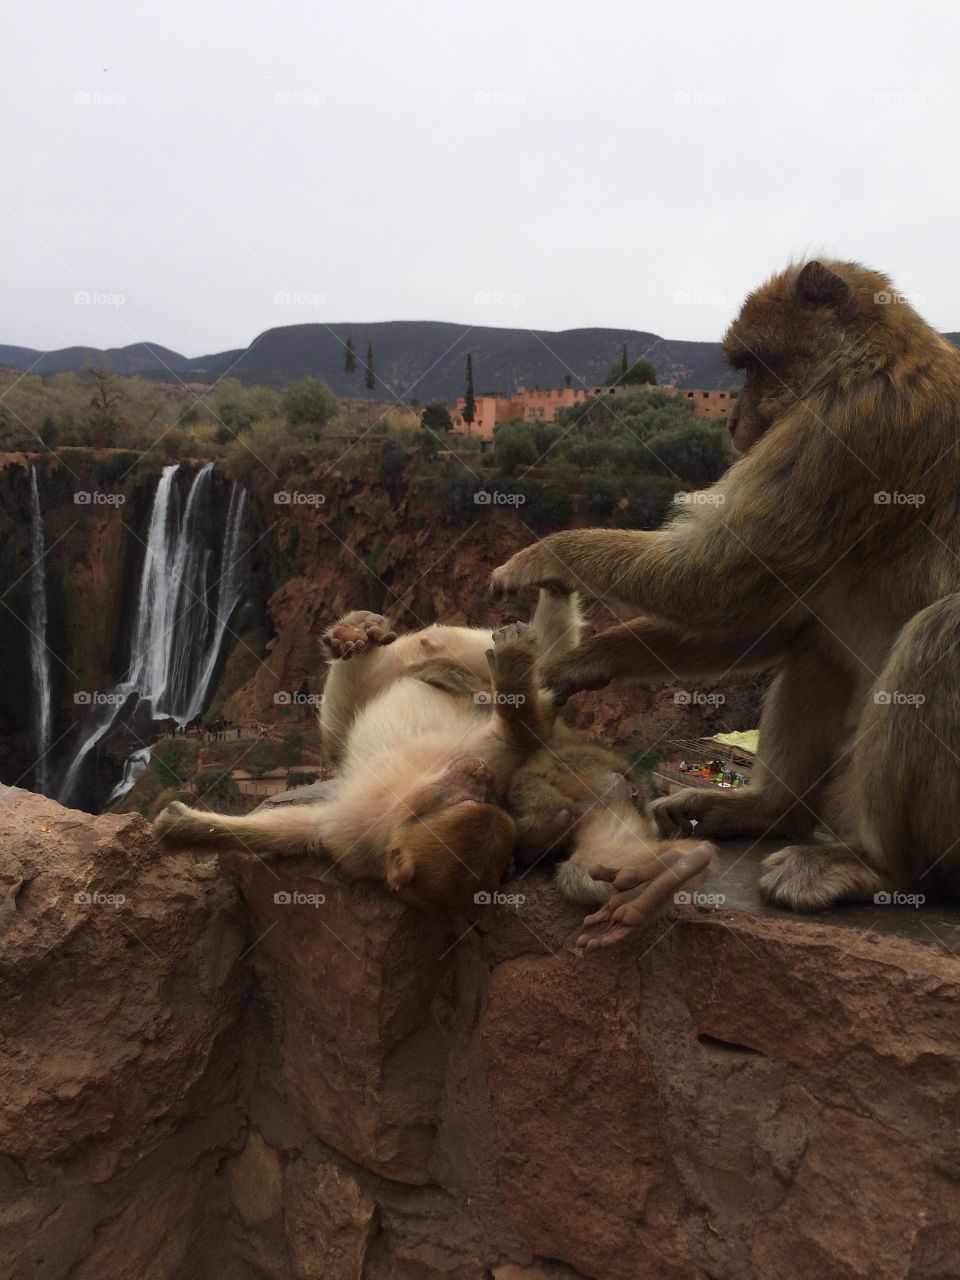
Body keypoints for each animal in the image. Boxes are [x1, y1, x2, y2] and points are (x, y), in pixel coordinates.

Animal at [491, 257, 960, 921]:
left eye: (756, 366)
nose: (734, 421)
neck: (873, 359)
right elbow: (768, 618)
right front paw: (591, 658)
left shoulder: (847, 429)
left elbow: (717, 579)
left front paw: (551, 554)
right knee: (817, 651)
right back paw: (769, 812)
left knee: (940, 632)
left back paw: (877, 868)